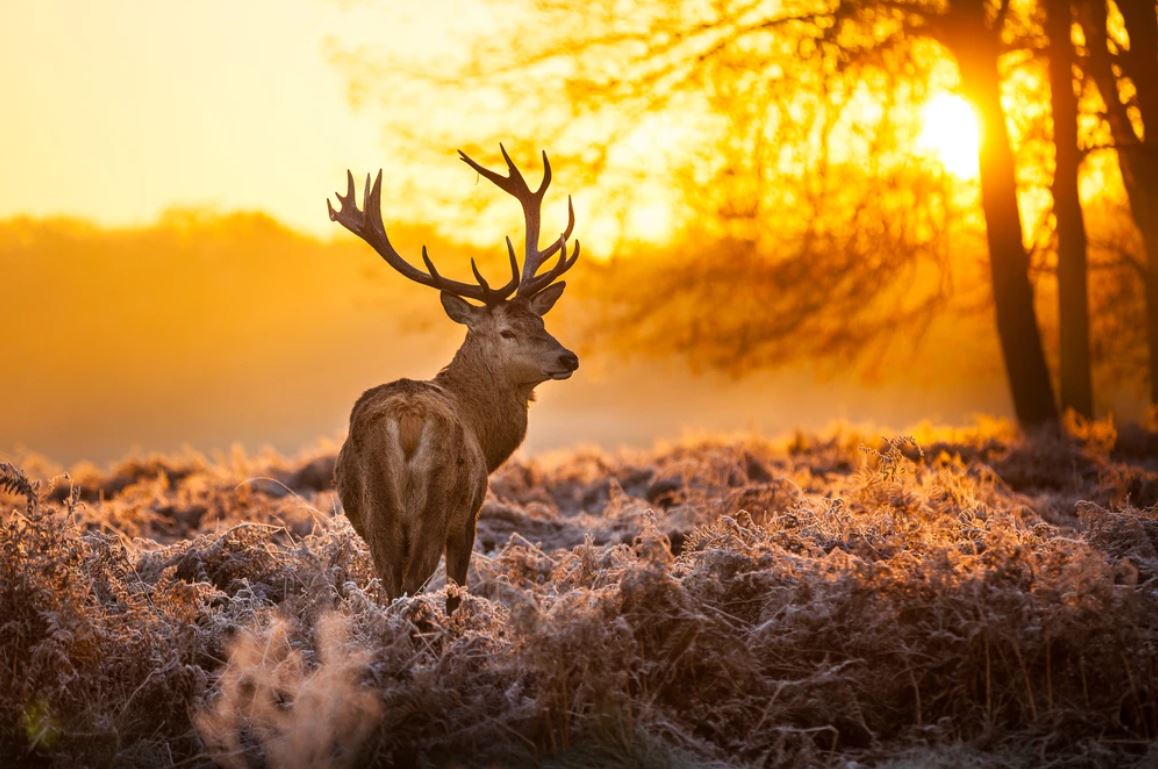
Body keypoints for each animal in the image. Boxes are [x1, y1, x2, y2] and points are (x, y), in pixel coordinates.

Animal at [326, 145, 579, 613]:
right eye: (507, 331)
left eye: (540, 320)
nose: (568, 357)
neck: (484, 429)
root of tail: (407, 422)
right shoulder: (470, 516)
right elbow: (456, 592)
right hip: (438, 505)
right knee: (412, 586)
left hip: (377, 512)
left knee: (392, 586)